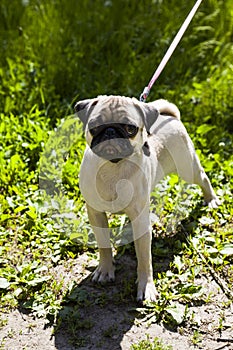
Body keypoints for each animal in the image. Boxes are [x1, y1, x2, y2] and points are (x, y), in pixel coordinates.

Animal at [74, 95, 220, 300]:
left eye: (130, 128)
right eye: (94, 126)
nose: (111, 131)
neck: (113, 167)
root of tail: (170, 116)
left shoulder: (141, 223)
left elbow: (144, 258)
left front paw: (146, 286)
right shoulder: (96, 213)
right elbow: (104, 245)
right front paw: (105, 269)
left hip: (187, 168)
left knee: (203, 178)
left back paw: (211, 199)